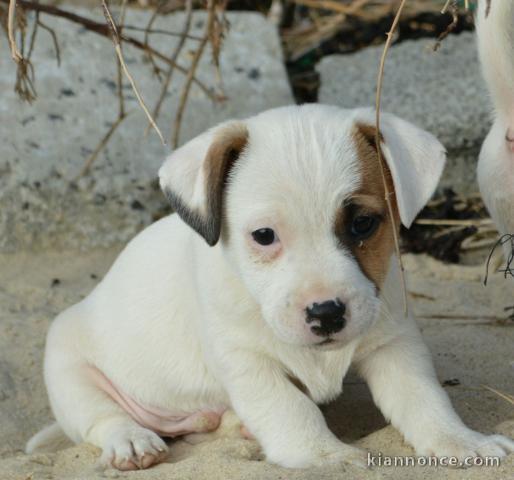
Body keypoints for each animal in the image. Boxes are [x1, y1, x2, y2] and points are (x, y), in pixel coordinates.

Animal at [28, 104, 512, 468]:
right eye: (264, 236)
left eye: (362, 223)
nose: (326, 314)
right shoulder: (245, 362)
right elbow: (288, 406)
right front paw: (323, 456)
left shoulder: (394, 344)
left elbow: (425, 400)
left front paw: (461, 441)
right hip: (68, 366)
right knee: (101, 417)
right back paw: (131, 441)